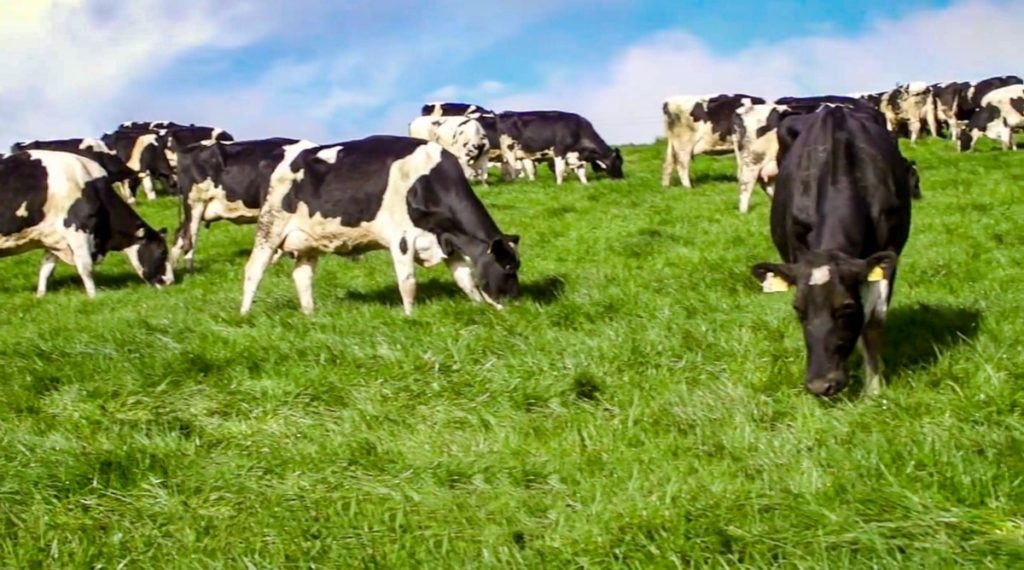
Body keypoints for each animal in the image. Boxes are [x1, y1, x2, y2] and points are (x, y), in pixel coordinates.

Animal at [0, 150, 174, 297]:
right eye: (162, 252)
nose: (170, 281)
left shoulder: (54, 237)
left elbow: (46, 269)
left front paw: (40, 296)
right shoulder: (78, 229)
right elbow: (86, 267)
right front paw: (93, 297)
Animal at [239, 135, 521, 316]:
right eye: (507, 267)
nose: (516, 302)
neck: (425, 180)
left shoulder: (445, 240)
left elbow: (465, 279)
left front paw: (482, 306)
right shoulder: (402, 239)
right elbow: (408, 283)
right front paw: (410, 316)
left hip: (308, 240)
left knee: (302, 276)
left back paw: (310, 314)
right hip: (270, 226)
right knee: (254, 269)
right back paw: (244, 314)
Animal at [495, 110, 623, 185]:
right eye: (619, 162)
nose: (622, 178)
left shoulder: (577, 157)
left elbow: (582, 172)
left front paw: (585, 184)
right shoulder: (559, 151)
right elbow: (560, 170)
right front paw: (559, 184)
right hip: (508, 151)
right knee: (511, 168)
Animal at [749, 105, 916, 398]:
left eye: (846, 307)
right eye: (798, 308)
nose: (820, 385)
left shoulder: (889, 253)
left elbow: (874, 321)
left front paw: (874, 388)